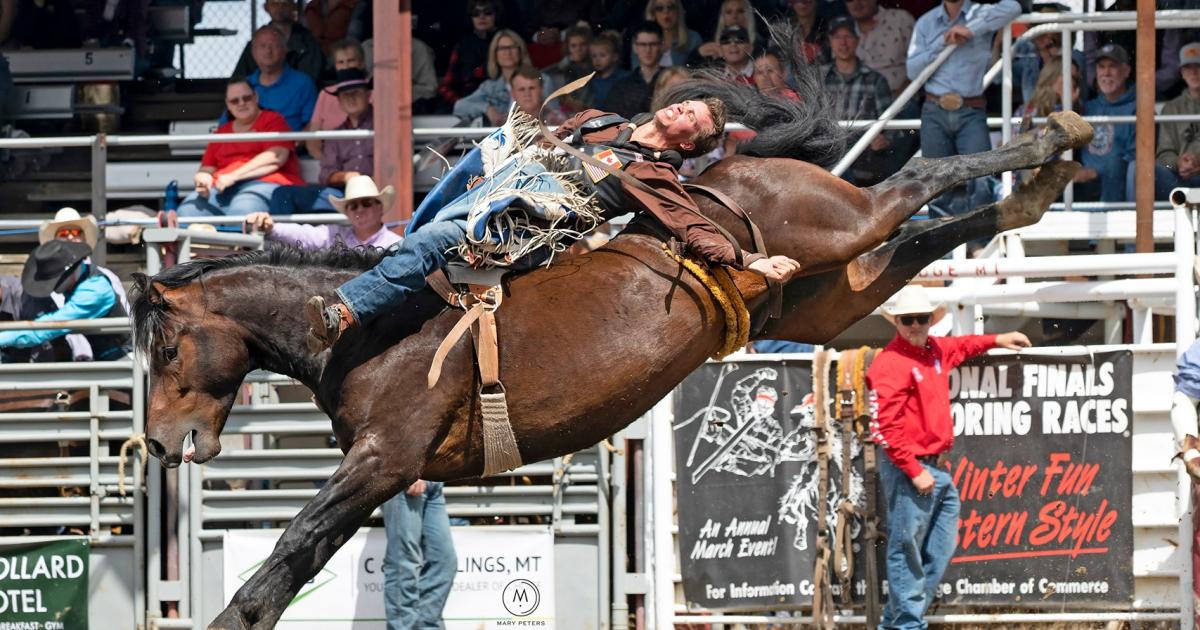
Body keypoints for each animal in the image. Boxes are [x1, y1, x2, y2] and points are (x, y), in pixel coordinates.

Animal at [131, 72, 1099, 624]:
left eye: (167, 348)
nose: (158, 443)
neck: (374, 328)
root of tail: (729, 172)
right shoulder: (389, 470)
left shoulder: (383, 458)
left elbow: (288, 555)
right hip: (829, 296)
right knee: (917, 241)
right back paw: (1038, 183)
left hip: (838, 221)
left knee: (919, 178)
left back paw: (1053, 139)